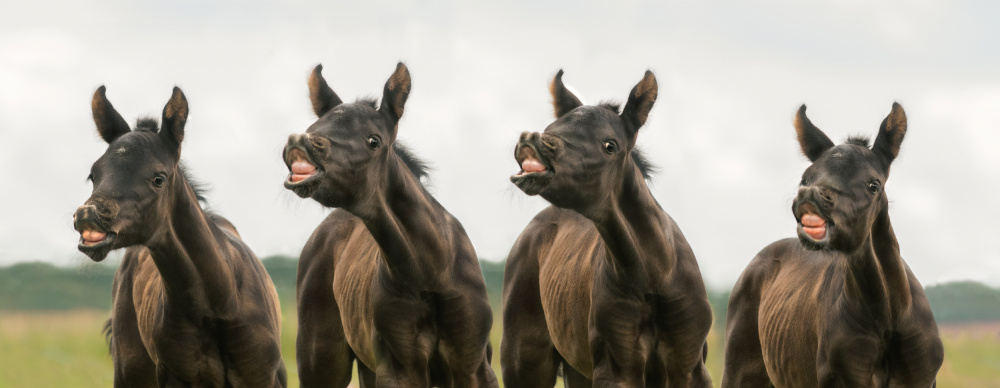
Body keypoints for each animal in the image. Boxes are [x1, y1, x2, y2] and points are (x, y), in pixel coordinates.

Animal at [284, 63, 498, 388]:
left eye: (374, 140)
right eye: (313, 128)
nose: (299, 144)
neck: (431, 272)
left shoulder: (473, 366)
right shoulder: (400, 367)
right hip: (321, 359)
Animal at [504, 70, 716, 388]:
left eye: (609, 145)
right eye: (551, 127)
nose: (532, 142)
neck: (653, 278)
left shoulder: (689, 367)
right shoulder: (617, 366)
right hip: (526, 362)